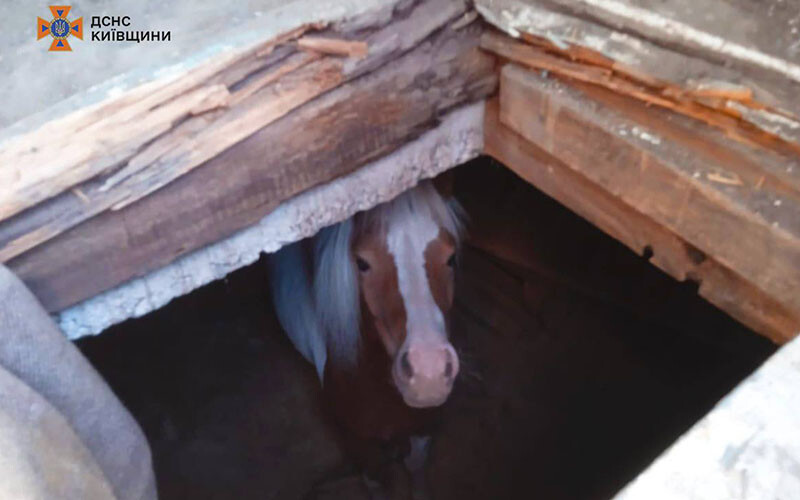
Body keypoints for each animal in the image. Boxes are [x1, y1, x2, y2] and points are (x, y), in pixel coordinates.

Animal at [268, 179, 466, 496]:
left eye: (451, 257)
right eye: (361, 263)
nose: (429, 373)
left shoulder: (424, 426)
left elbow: (416, 468)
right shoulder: (358, 443)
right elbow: (375, 481)